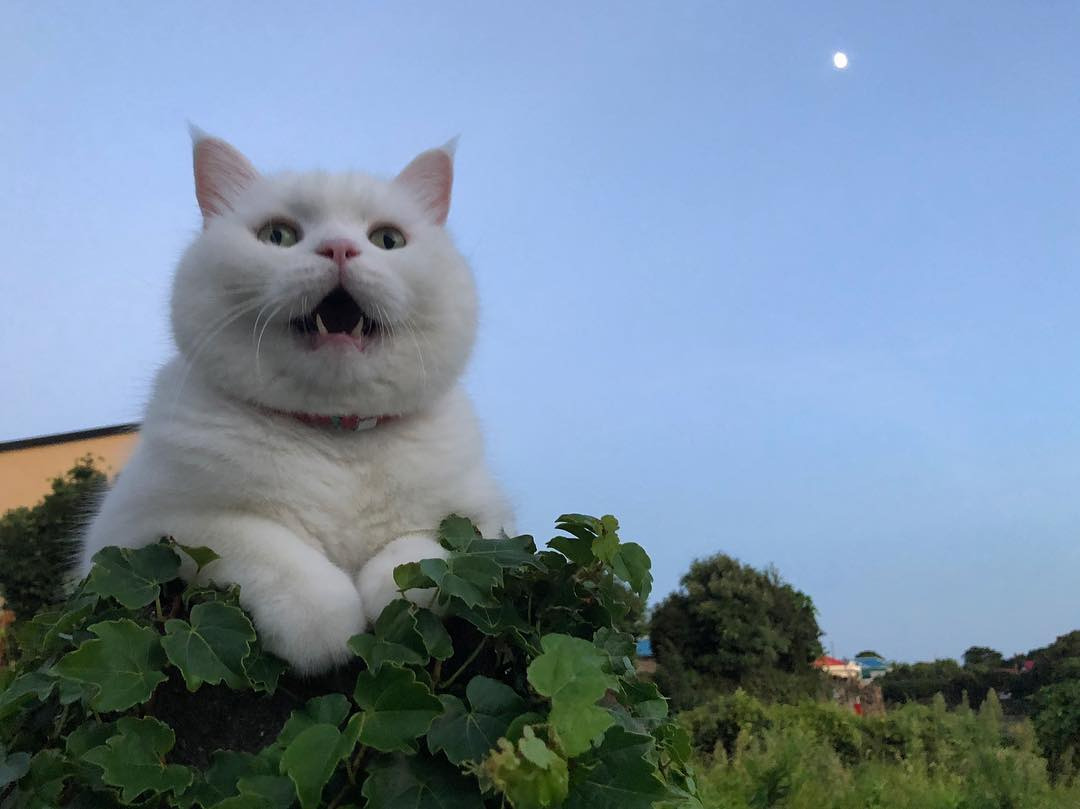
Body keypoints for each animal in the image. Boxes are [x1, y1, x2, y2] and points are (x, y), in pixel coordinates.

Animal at [79, 131, 514, 674]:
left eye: (388, 240)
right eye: (278, 235)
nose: (340, 248)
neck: (338, 436)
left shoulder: (487, 519)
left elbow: (430, 547)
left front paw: (401, 591)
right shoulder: (146, 528)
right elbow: (260, 543)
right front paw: (326, 627)